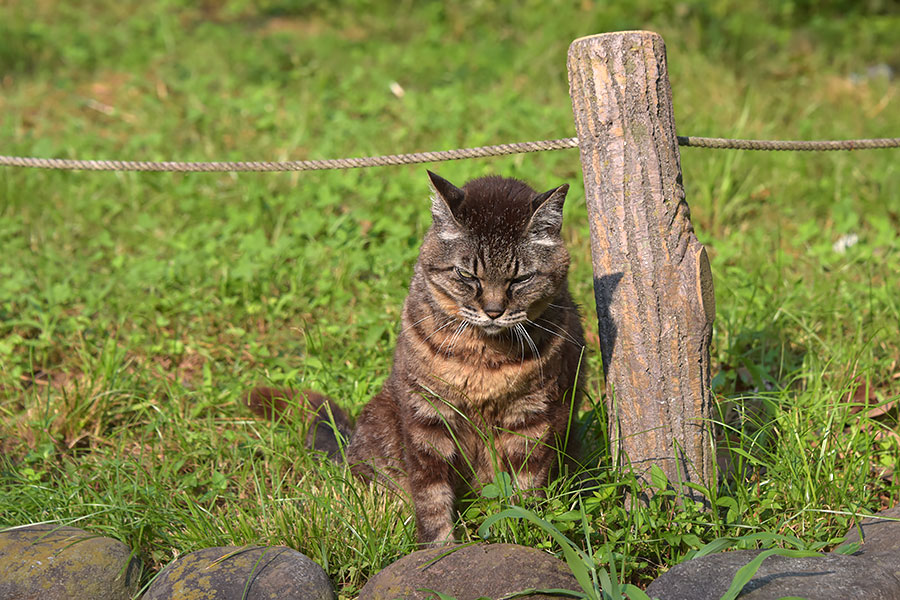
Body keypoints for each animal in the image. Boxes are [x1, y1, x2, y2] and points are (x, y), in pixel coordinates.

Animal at [248, 171, 584, 548]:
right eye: (467, 275)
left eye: (521, 278)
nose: (494, 311)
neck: (483, 356)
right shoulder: (426, 415)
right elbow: (431, 495)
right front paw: (439, 548)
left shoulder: (534, 417)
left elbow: (521, 492)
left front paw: (518, 536)